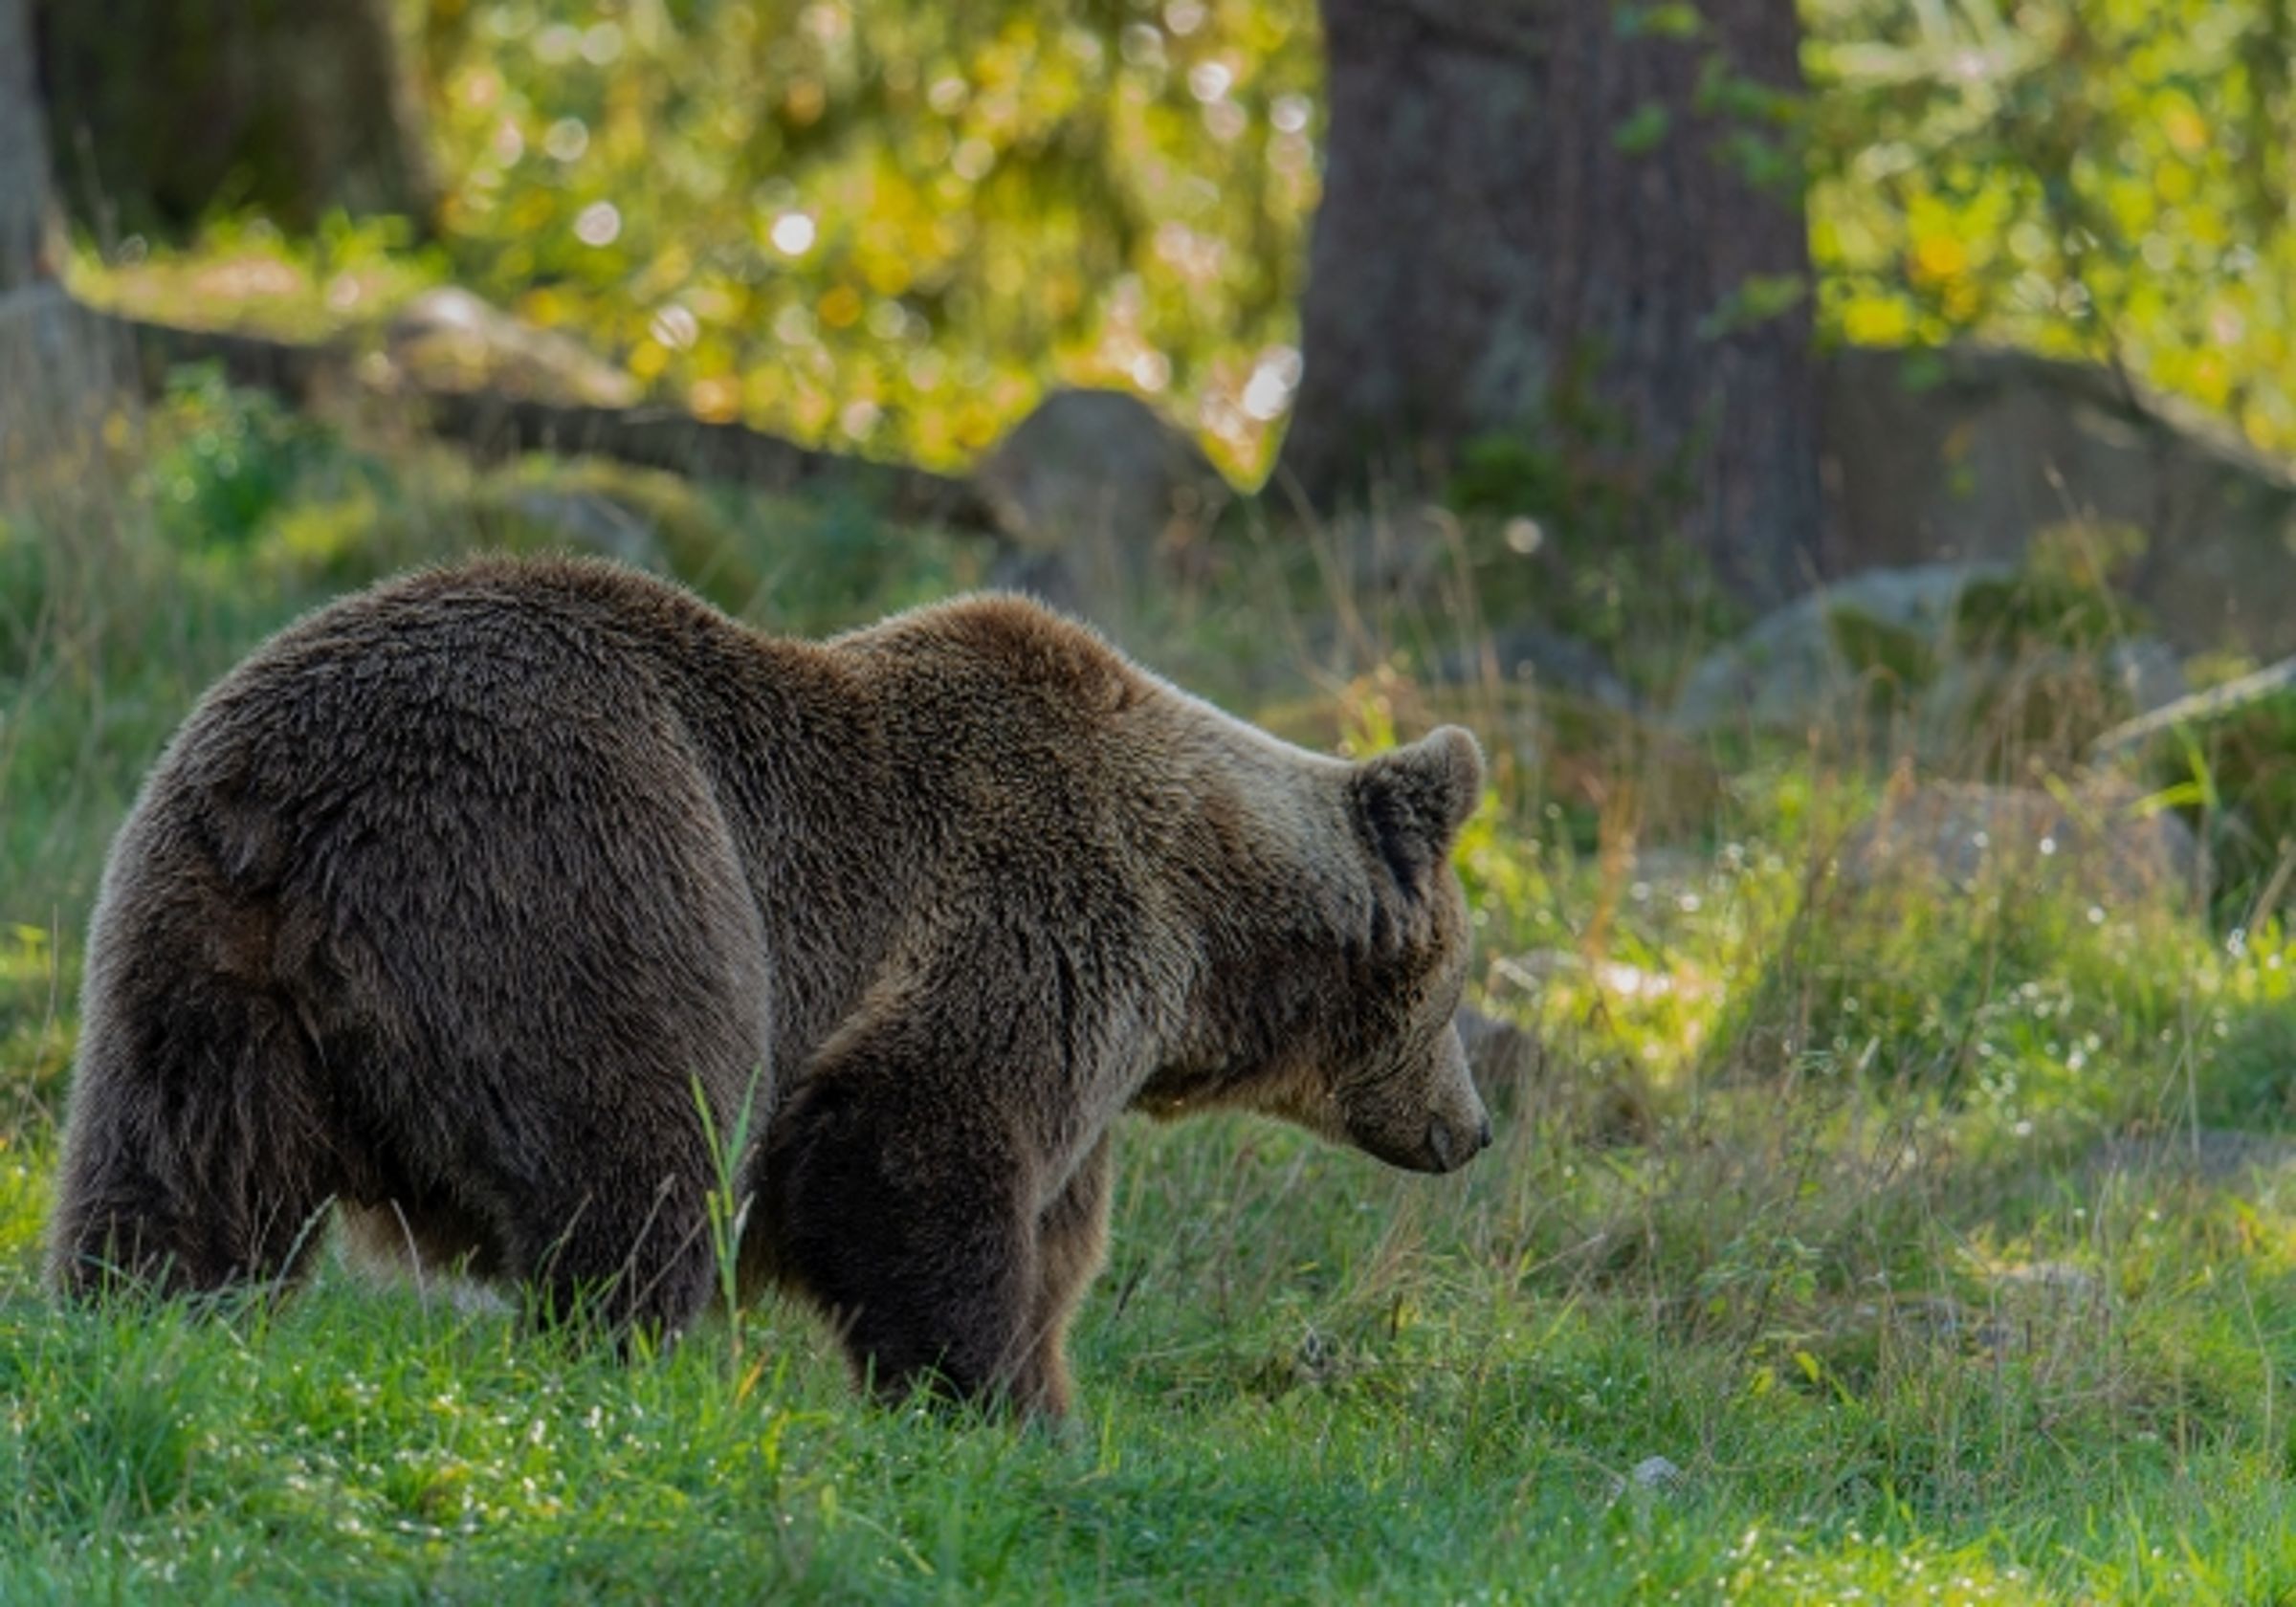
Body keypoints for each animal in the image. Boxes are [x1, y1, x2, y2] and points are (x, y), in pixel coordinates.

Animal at [47, 555, 1491, 1416]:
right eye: (1458, 983)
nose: (1471, 1129)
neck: (1202, 930)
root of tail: (300, 807)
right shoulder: (1031, 930)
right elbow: (916, 1158)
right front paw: (983, 1405)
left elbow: (1055, 1244)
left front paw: (1041, 1402)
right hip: (600, 873)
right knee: (638, 1169)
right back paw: (615, 1378)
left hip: (192, 952)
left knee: (179, 1182)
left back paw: (141, 1329)